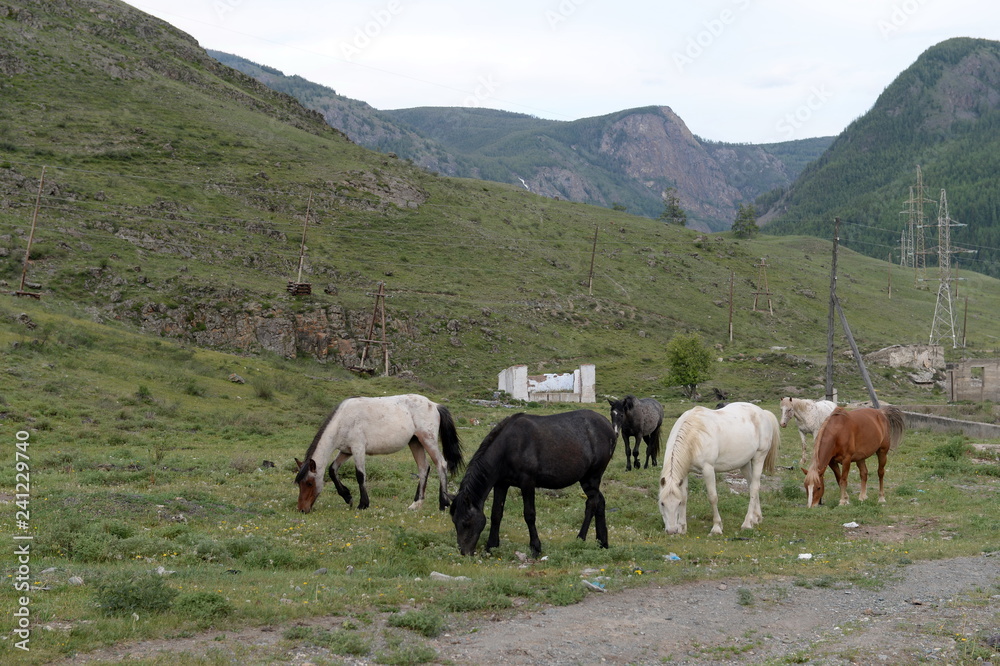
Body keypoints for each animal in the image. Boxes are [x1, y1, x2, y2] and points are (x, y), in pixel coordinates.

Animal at [294, 394, 463, 513]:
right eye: (300, 484)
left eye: (309, 483)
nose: (302, 509)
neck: (343, 420)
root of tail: (434, 405)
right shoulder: (346, 451)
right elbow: (332, 469)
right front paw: (347, 497)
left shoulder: (358, 449)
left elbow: (360, 475)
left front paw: (363, 504)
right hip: (415, 442)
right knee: (423, 468)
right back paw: (416, 504)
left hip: (428, 440)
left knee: (441, 464)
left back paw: (443, 504)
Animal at [450, 409, 616, 557]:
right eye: (454, 521)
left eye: (466, 522)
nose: (464, 552)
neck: (508, 446)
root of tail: (608, 425)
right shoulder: (501, 484)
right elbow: (496, 514)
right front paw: (491, 546)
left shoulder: (527, 483)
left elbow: (529, 515)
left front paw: (535, 548)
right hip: (587, 478)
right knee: (600, 502)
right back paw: (602, 542)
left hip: (592, 476)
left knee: (592, 504)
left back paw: (580, 538)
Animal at [658, 402, 780, 536]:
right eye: (662, 503)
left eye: (677, 503)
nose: (671, 531)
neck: (694, 435)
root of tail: (763, 413)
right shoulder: (685, 472)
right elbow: (684, 496)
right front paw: (682, 528)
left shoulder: (708, 470)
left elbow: (713, 497)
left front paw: (716, 527)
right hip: (745, 464)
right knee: (751, 485)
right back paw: (756, 517)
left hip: (759, 457)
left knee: (754, 488)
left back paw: (747, 523)